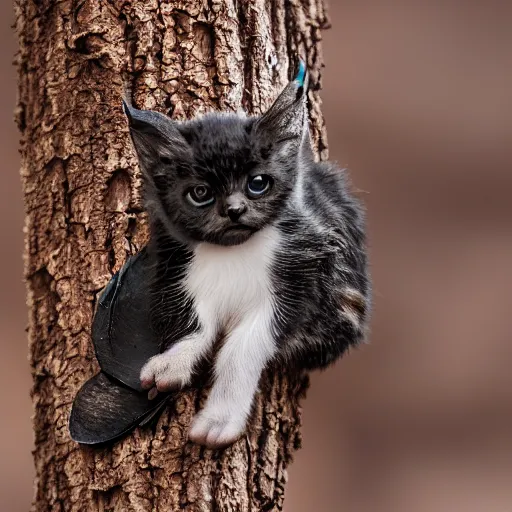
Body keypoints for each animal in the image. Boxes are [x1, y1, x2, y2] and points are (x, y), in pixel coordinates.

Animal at [124, 63, 372, 448]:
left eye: (258, 183)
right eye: (200, 193)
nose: (235, 210)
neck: (235, 250)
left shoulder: (306, 271)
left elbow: (243, 347)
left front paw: (218, 420)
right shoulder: (174, 262)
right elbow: (193, 322)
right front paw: (173, 362)